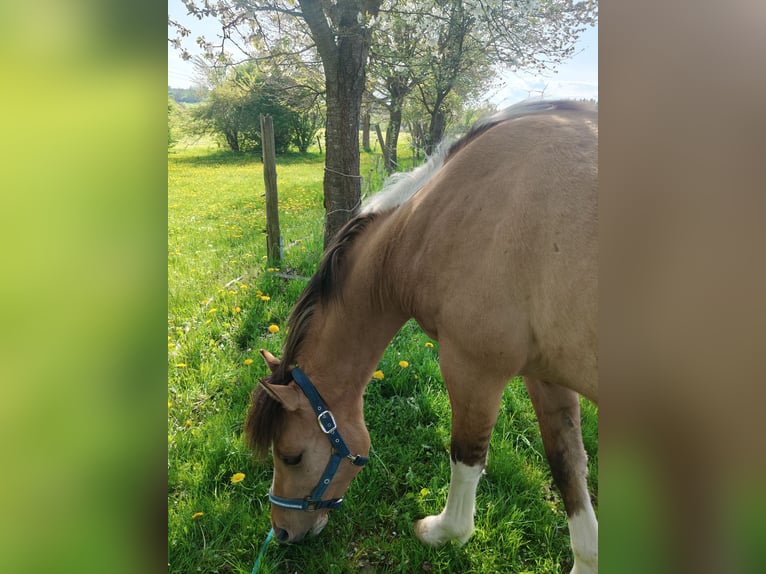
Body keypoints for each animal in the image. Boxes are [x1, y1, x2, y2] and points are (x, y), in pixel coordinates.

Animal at [245, 100, 598, 573]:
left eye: (291, 456)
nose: (281, 532)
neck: (434, 222)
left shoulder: (472, 369)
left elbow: (466, 456)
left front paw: (444, 532)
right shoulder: (545, 377)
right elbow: (567, 465)